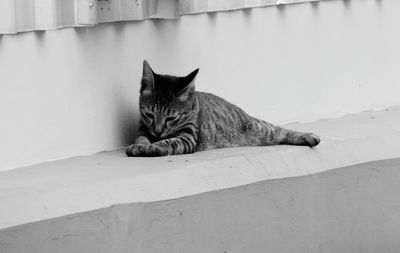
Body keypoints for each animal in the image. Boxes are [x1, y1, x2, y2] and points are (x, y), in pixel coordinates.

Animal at [126, 60, 320, 156]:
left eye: (171, 118)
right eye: (149, 114)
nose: (158, 131)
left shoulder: (188, 137)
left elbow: (168, 142)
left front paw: (153, 147)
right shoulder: (143, 128)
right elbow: (141, 138)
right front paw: (140, 145)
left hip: (258, 128)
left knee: (278, 130)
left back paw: (308, 136)